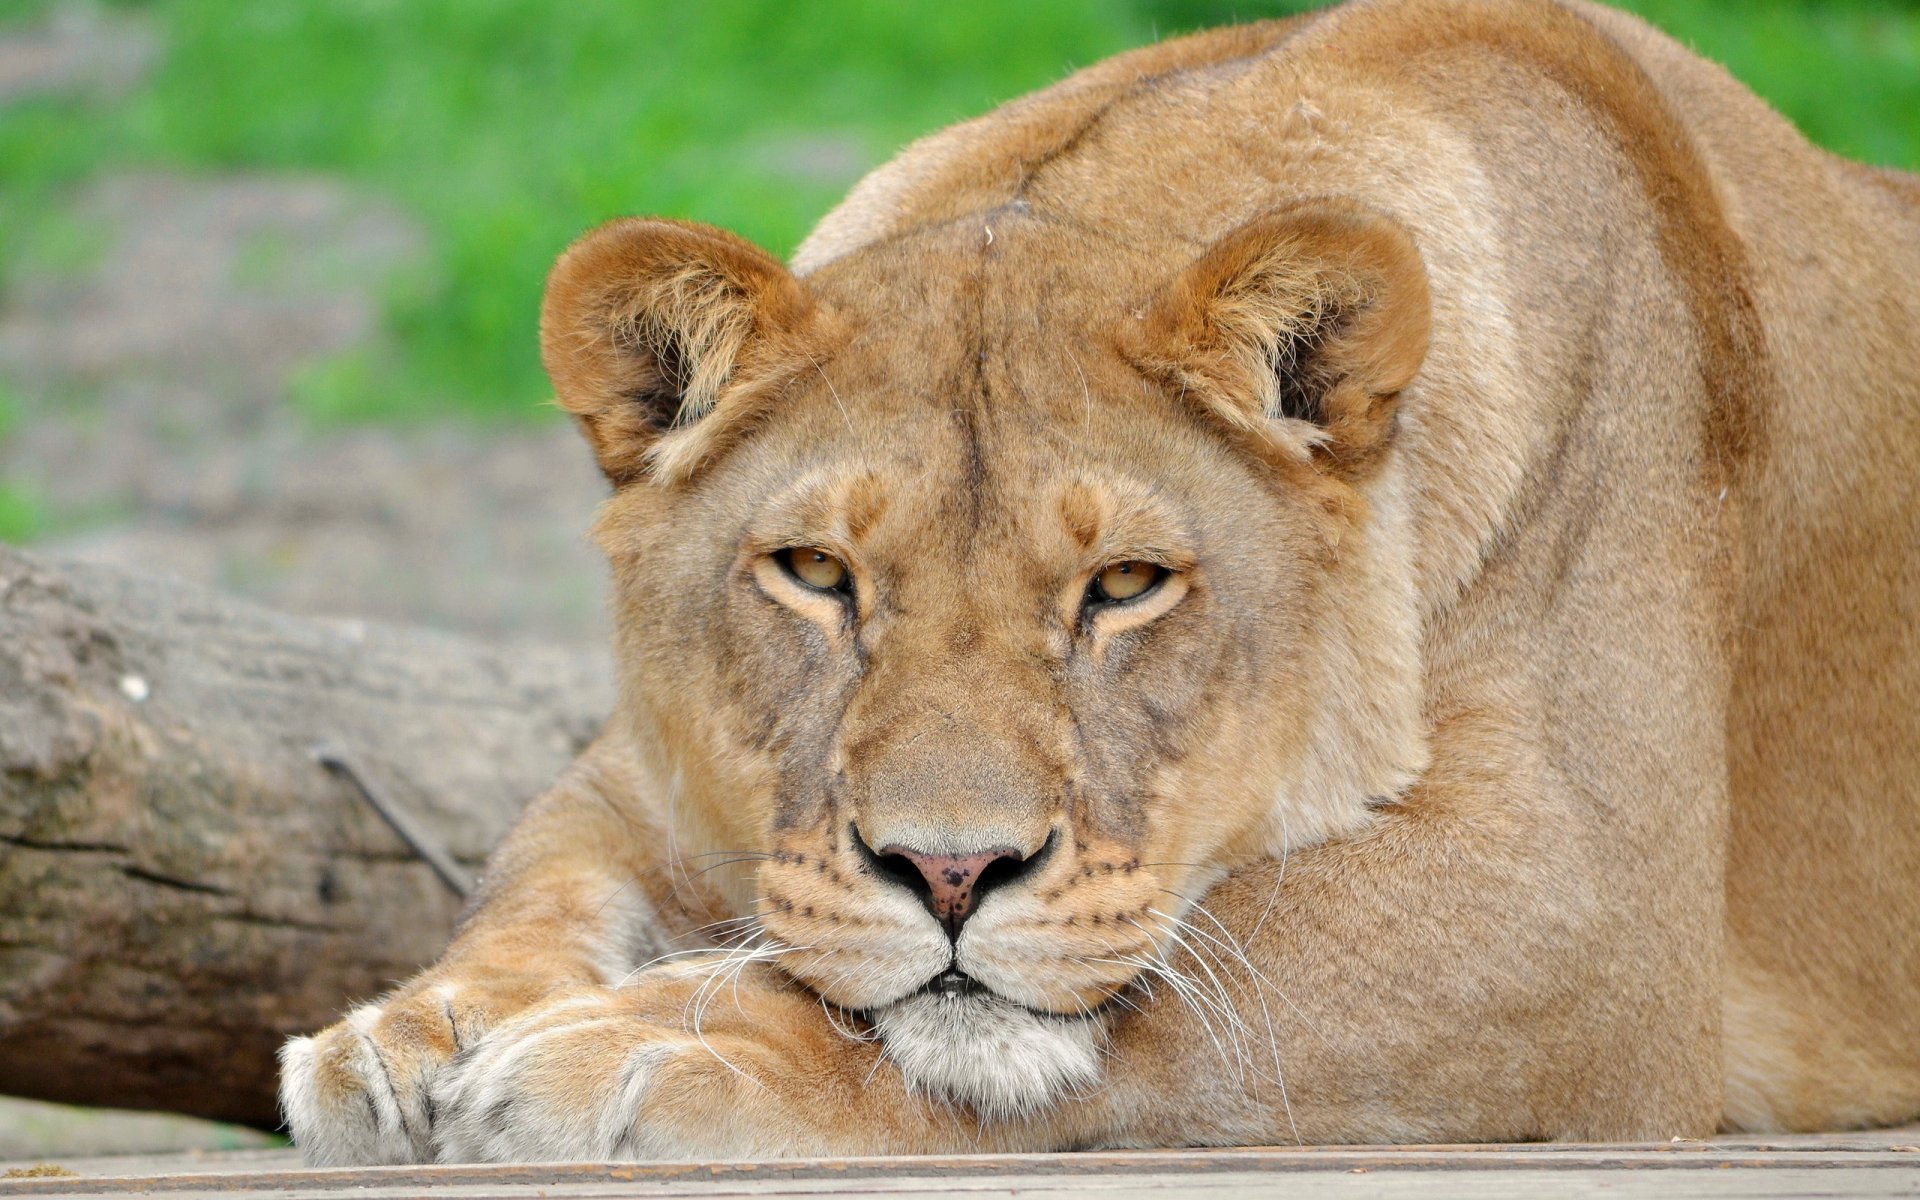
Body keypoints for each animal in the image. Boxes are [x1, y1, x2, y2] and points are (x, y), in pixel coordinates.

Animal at [279, 0, 1920, 1163]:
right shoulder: (656, 772)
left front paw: (648, 1045)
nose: (950, 873)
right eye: (815, 573)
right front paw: (409, 1035)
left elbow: (1182, 974)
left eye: (1127, 586)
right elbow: (543, 873)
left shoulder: (1588, 907)